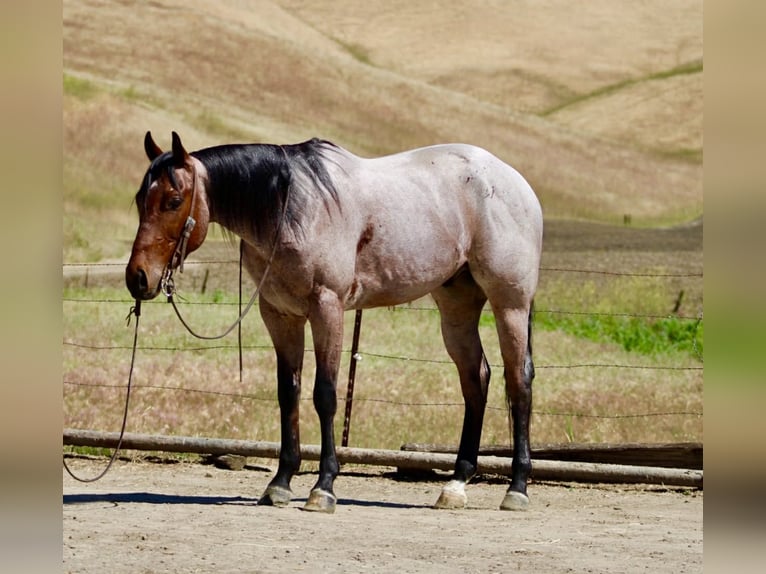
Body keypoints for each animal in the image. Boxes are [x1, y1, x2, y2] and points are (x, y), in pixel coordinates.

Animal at [126, 131, 543, 513]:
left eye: (174, 200)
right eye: (140, 200)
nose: (138, 278)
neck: (290, 208)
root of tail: (513, 182)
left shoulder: (327, 308)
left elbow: (324, 394)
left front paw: (323, 487)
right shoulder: (279, 315)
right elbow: (288, 393)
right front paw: (280, 483)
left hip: (510, 304)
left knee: (518, 381)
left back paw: (517, 489)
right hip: (457, 307)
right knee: (476, 379)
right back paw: (455, 485)